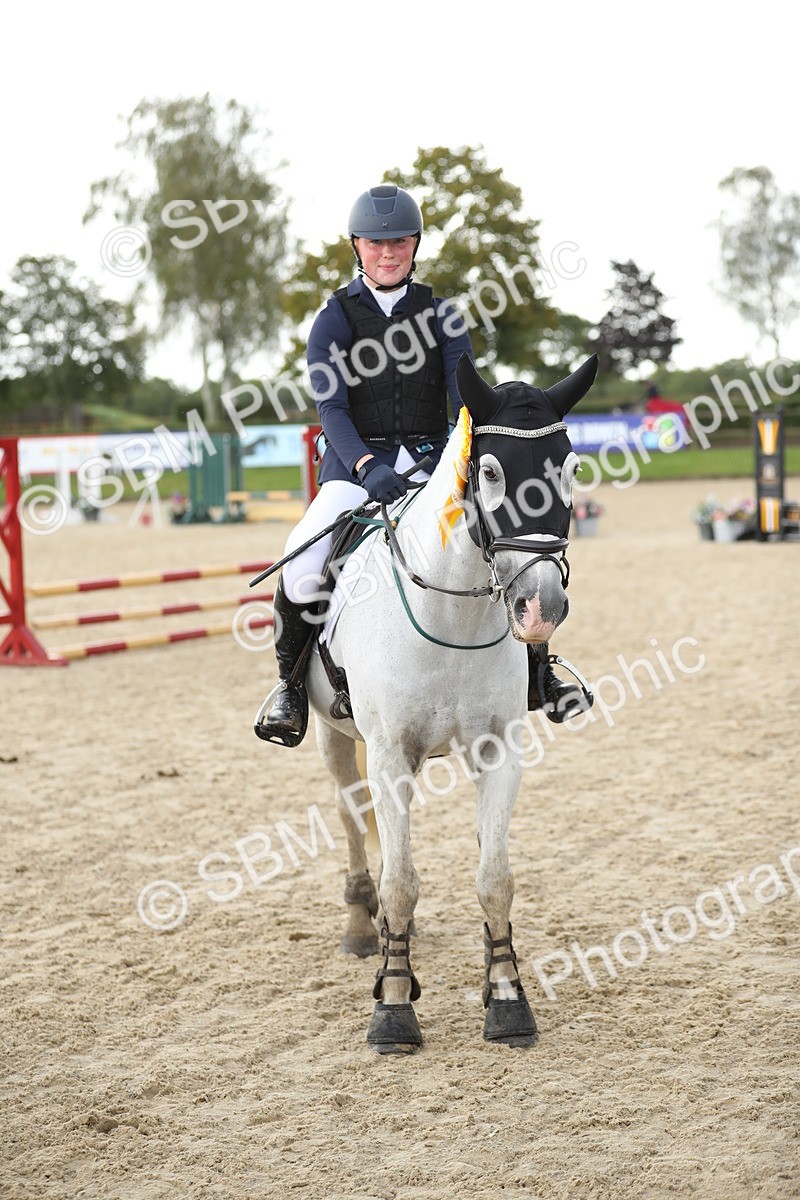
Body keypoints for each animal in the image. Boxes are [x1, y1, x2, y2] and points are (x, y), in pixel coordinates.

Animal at [296, 352, 596, 1053]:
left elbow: (494, 878)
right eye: (488, 472)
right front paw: (393, 1007)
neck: (453, 615)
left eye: (570, 469)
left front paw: (508, 1000)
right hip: (335, 737)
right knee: (351, 814)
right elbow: (401, 883)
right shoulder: (388, 754)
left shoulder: (499, 751)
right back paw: (362, 926)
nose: (541, 608)